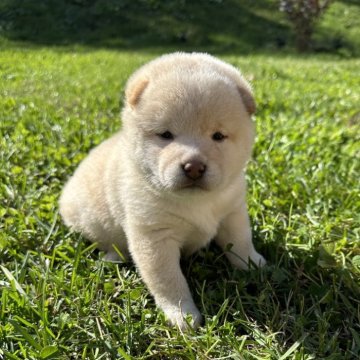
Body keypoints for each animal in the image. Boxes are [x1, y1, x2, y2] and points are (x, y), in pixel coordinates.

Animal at [59, 52, 264, 330]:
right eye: (166, 135)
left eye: (218, 136)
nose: (194, 167)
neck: (197, 202)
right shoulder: (155, 237)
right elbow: (168, 280)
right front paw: (183, 316)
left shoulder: (232, 212)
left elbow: (241, 241)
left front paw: (253, 264)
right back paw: (112, 256)